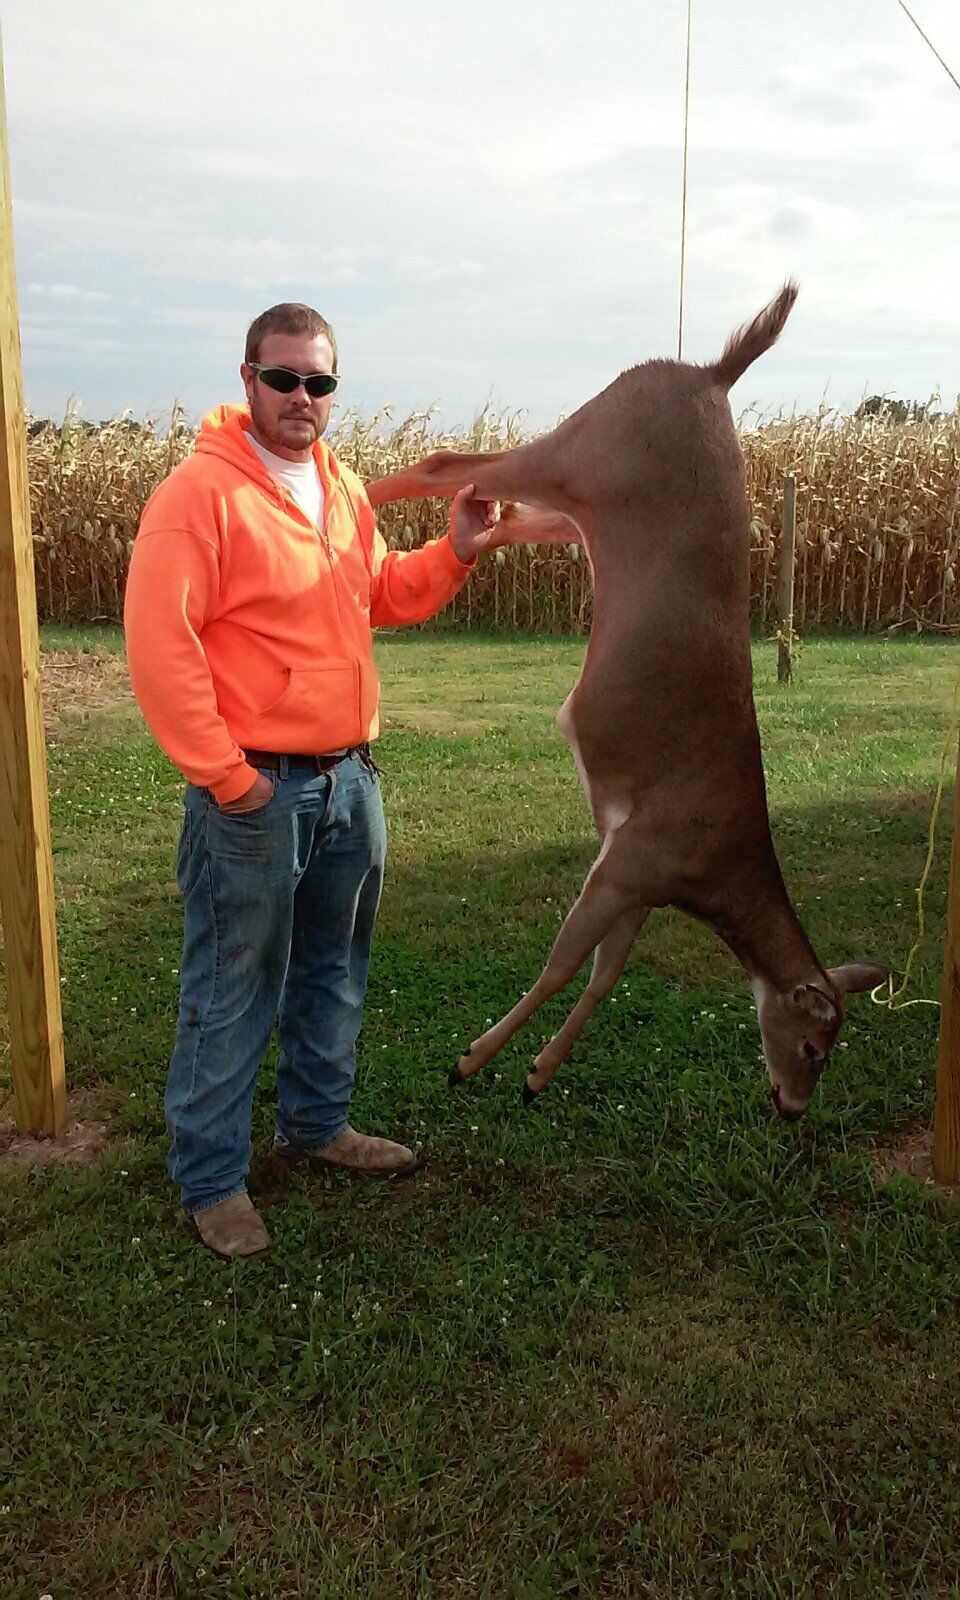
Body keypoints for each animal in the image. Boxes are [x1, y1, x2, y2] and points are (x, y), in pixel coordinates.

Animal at [366, 284, 886, 1121]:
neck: (718, 869)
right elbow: (559, 963)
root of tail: (711, 377)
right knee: (446, 462)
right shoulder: (638, 855)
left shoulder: (641, 877)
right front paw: (471, 1060)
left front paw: (537, 1073)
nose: (792, 1108)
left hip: (578, 500)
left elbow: (605, 975)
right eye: (813, 1046)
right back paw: (330, 484)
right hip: (587, 447)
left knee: (491, 509)